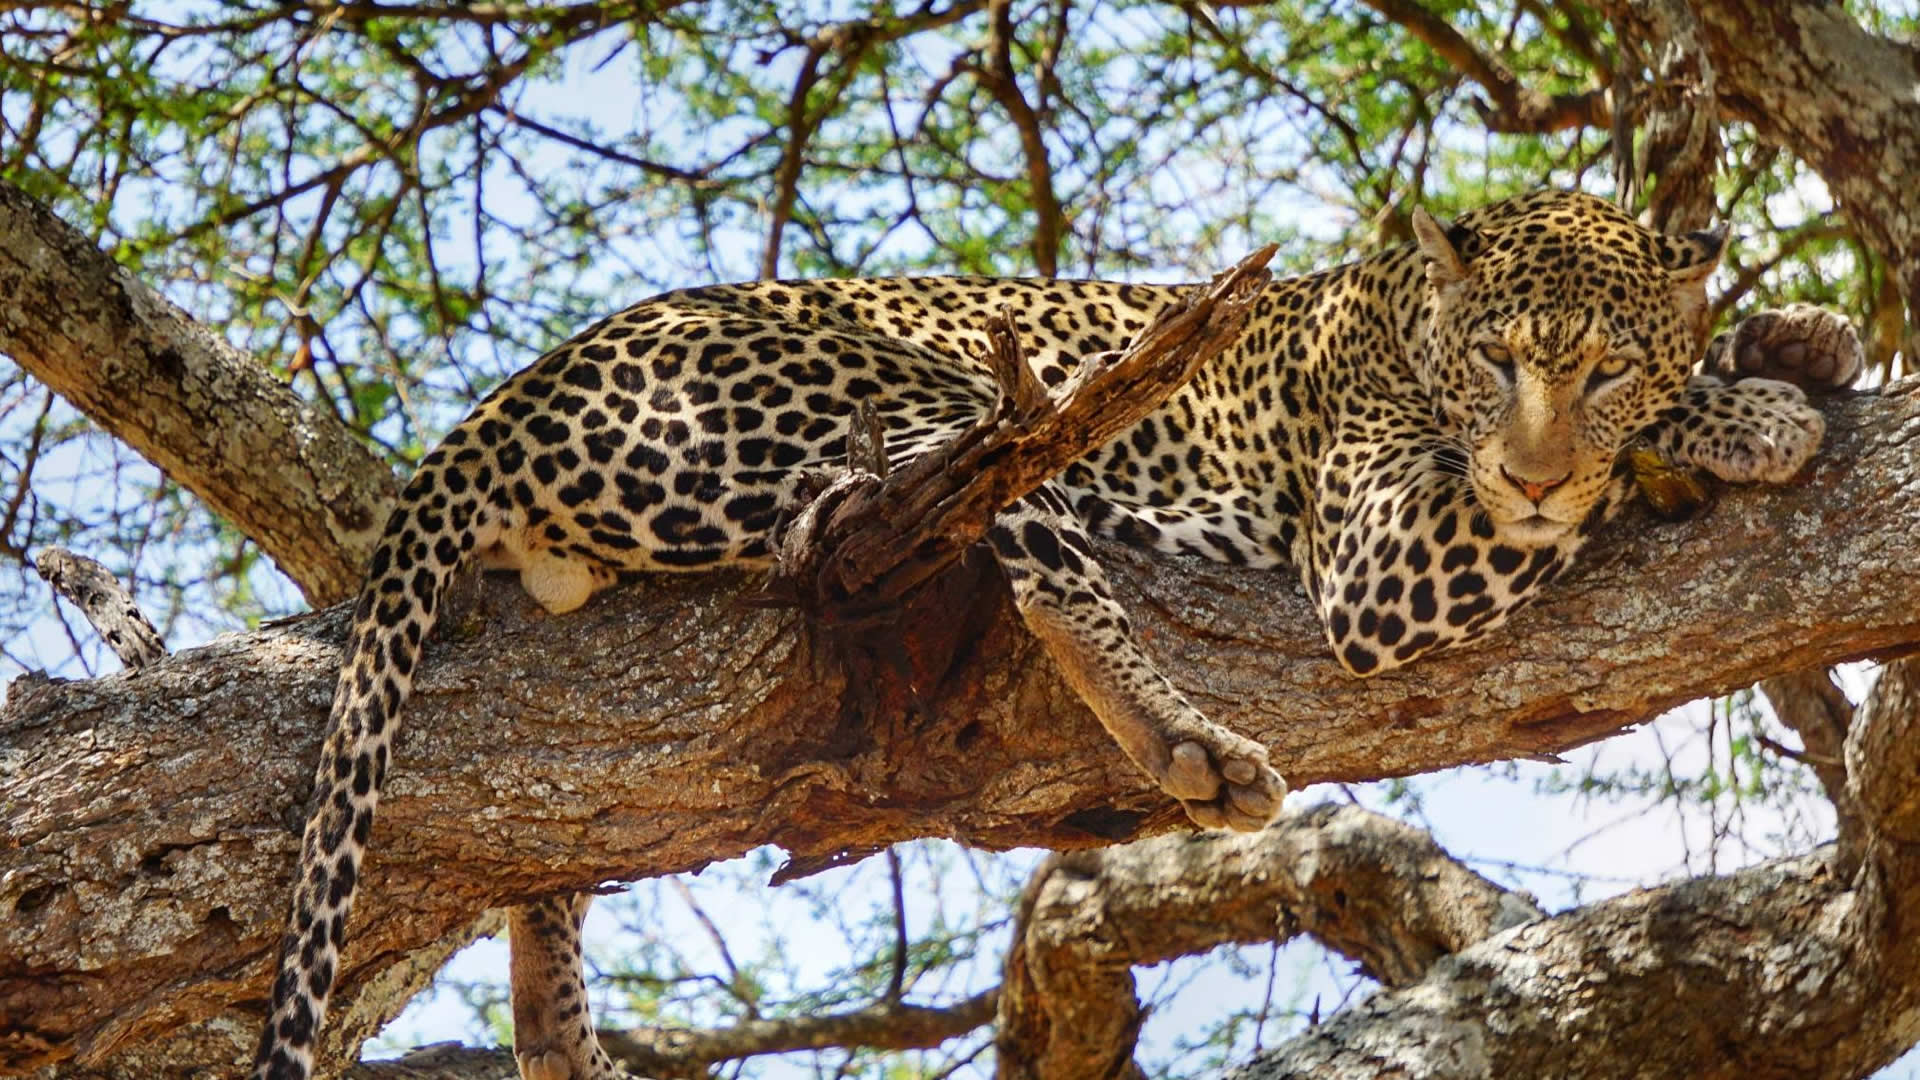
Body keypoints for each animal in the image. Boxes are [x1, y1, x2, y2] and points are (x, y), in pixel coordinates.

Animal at [250, 190, 1861, 1080]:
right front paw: (1741, 417)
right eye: (1502, 362)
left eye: (1595, 367)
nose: (1530, 472)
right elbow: (1607, 464)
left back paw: (558, 1031)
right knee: (1026, 564)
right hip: (931, 401)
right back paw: (1193, 748)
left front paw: (1792, 338)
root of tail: (504, 400)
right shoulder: (1382, 554)